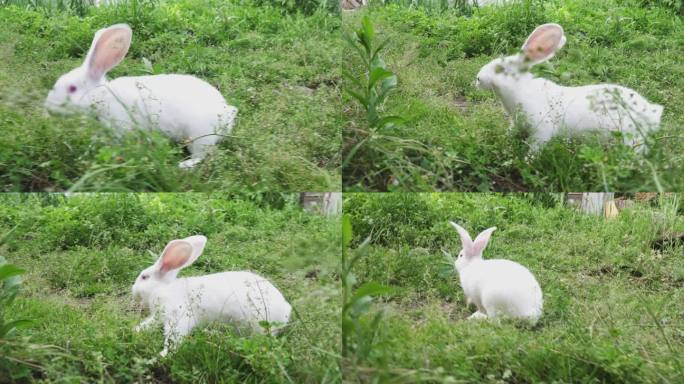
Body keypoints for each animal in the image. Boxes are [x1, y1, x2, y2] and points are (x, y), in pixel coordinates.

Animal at [45, 23, 238, 168]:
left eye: (72, 88)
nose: (49, 108)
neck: (103, 96)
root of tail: (227, 115)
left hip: (199, 136)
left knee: (201, 155)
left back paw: (184, 165)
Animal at [132, 234, 292, 356]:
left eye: (144, 277)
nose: (133, 289)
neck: (163, 288)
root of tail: (286, 310)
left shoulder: (178, 316)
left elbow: (173, 338)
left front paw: (163, 354)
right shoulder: (159, 316)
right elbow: (149, 324)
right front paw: (137, 330)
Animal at [476, 22, 664, 152]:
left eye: (500, 69)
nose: (478, 78)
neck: (520, 88)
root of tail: (652, 111)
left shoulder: (542, 130)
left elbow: (535, 148)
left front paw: (527, 161)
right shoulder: (516, 123)